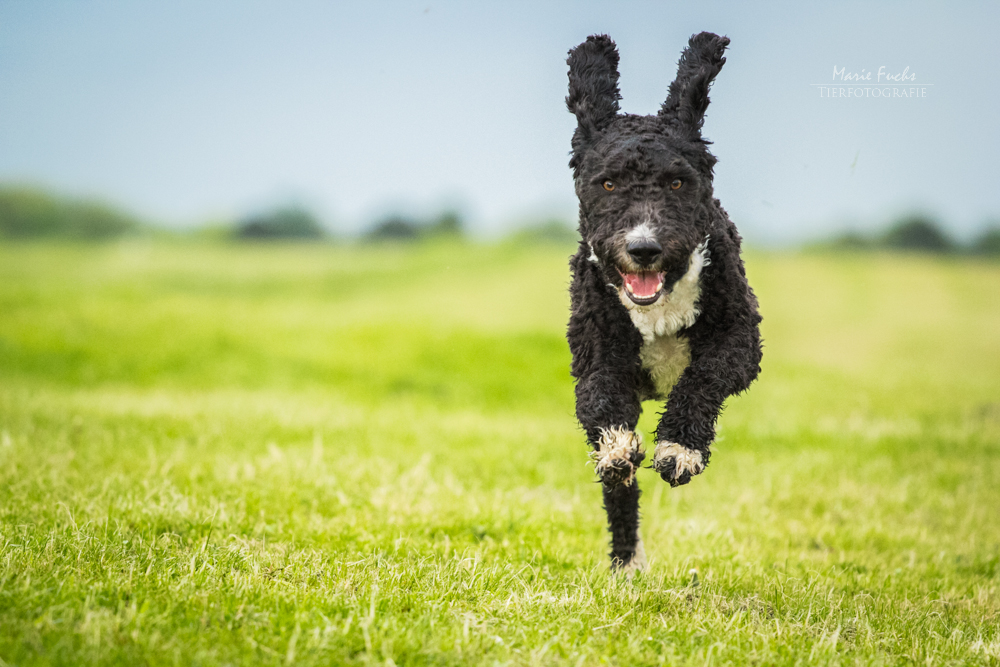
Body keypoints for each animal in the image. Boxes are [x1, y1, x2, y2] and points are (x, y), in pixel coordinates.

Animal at [568, 32, 760, 576]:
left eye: (677, 182)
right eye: (608, 183)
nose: (644, 248)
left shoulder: (741, 340)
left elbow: (703, 377)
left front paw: (679, 448)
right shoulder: (598, 355)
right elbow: (599, 402)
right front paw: (617, 449)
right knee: (618, 498)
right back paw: (626, 560)